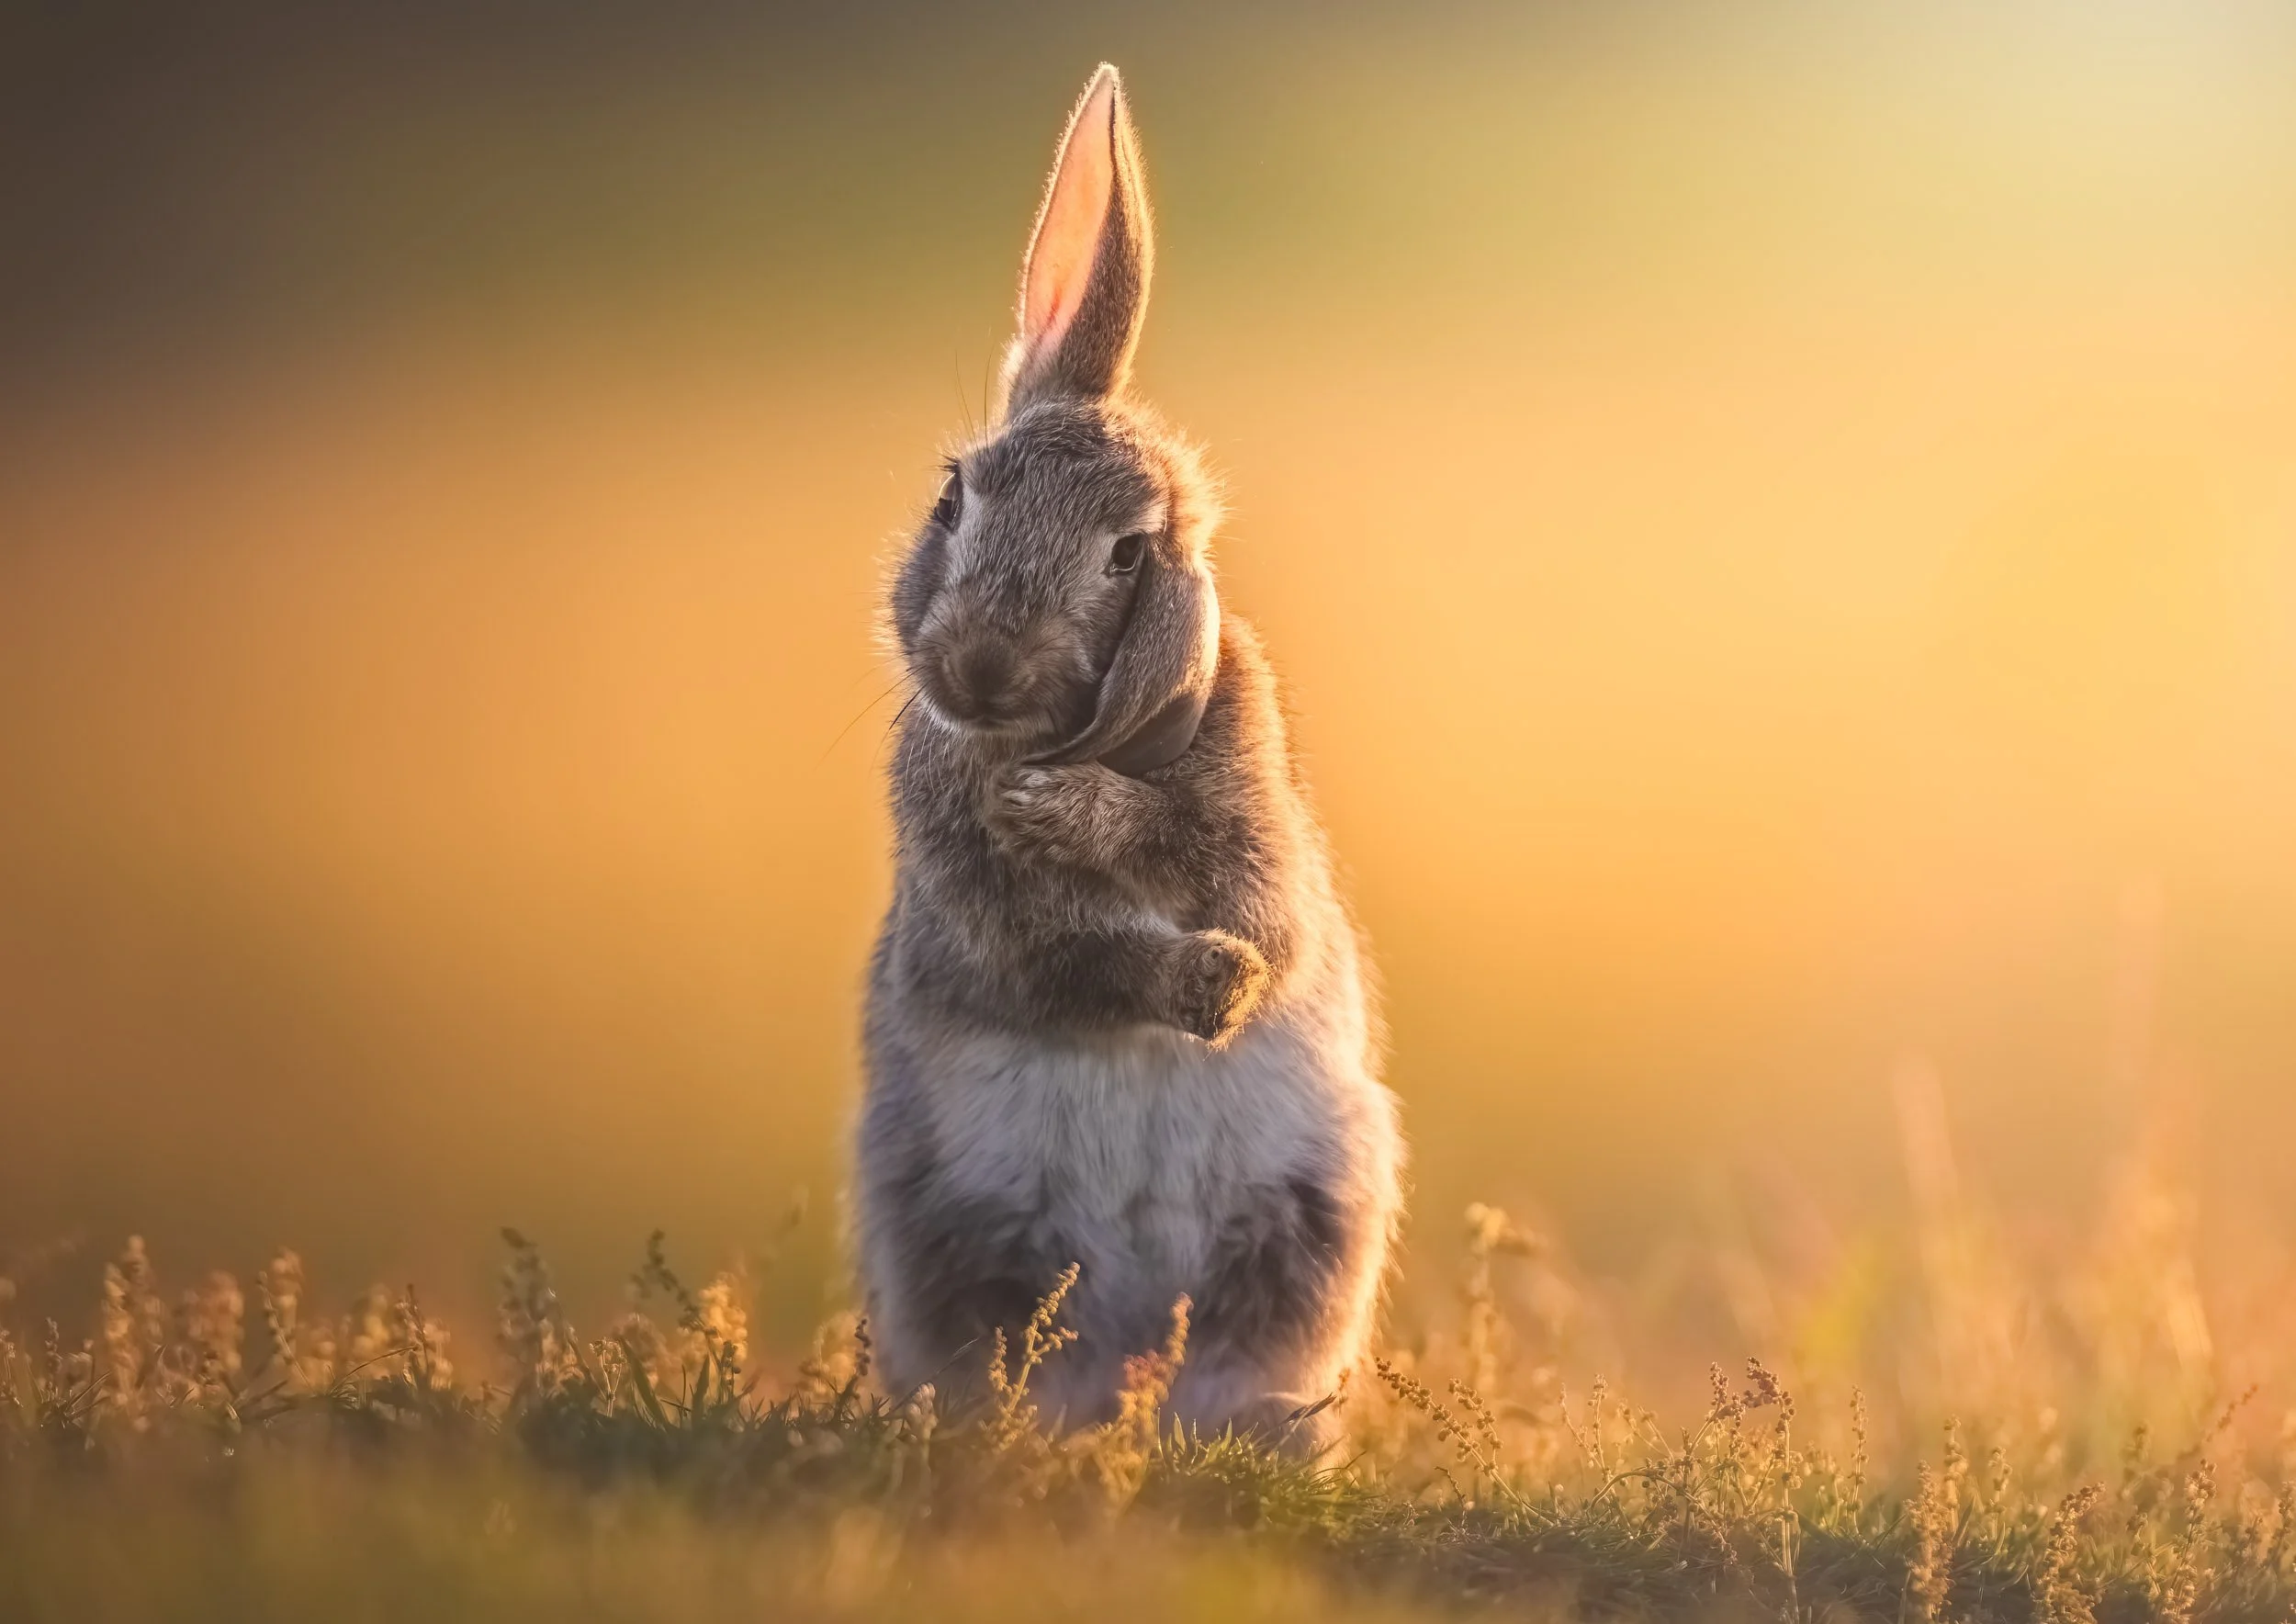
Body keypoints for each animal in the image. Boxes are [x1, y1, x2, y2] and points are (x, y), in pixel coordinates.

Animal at [854, 63, 1403, 1450]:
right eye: (956, 496)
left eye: (1126, 553)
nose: (980, 667)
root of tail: (1129, 1363)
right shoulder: (979, 919)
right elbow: (1060, 964)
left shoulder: (1259, 829)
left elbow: (1255, 912)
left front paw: (1076, 824)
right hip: (956, 1234)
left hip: (1309, 1221)